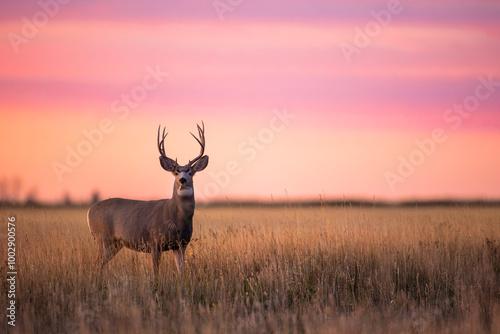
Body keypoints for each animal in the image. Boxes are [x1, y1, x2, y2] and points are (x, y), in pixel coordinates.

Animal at [87, 122, 208, 276]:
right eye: (176, 172)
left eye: (191, 172)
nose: (183, 180)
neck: (176, 217)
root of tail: (89, 211)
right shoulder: (155, 241)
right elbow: (156, 273)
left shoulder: (181, 244)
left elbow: (182, 271)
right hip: (104, 238)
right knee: (96, 264)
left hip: (115, 244)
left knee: (98, 265)